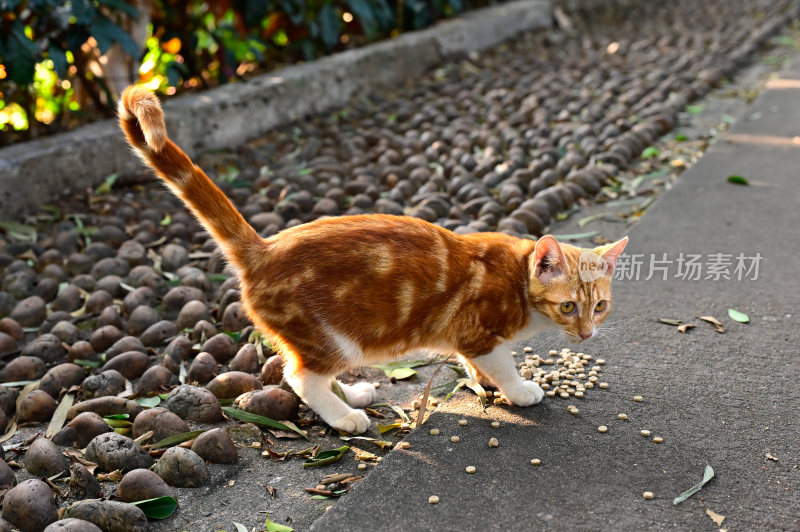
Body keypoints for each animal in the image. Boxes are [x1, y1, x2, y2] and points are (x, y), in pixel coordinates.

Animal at [120, 86, 632, 432]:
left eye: (600, 306)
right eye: (568, 306)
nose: (588, 333)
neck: (518, 280)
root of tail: (263, 249)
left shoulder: (467, 337)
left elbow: (476, 362)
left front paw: (481, 381)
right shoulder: (478, 330)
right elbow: (501, 362)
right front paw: (519, 389)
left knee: (305, 370)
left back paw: (355, 395)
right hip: (334, 338)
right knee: (299, 377)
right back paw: (344, 417)